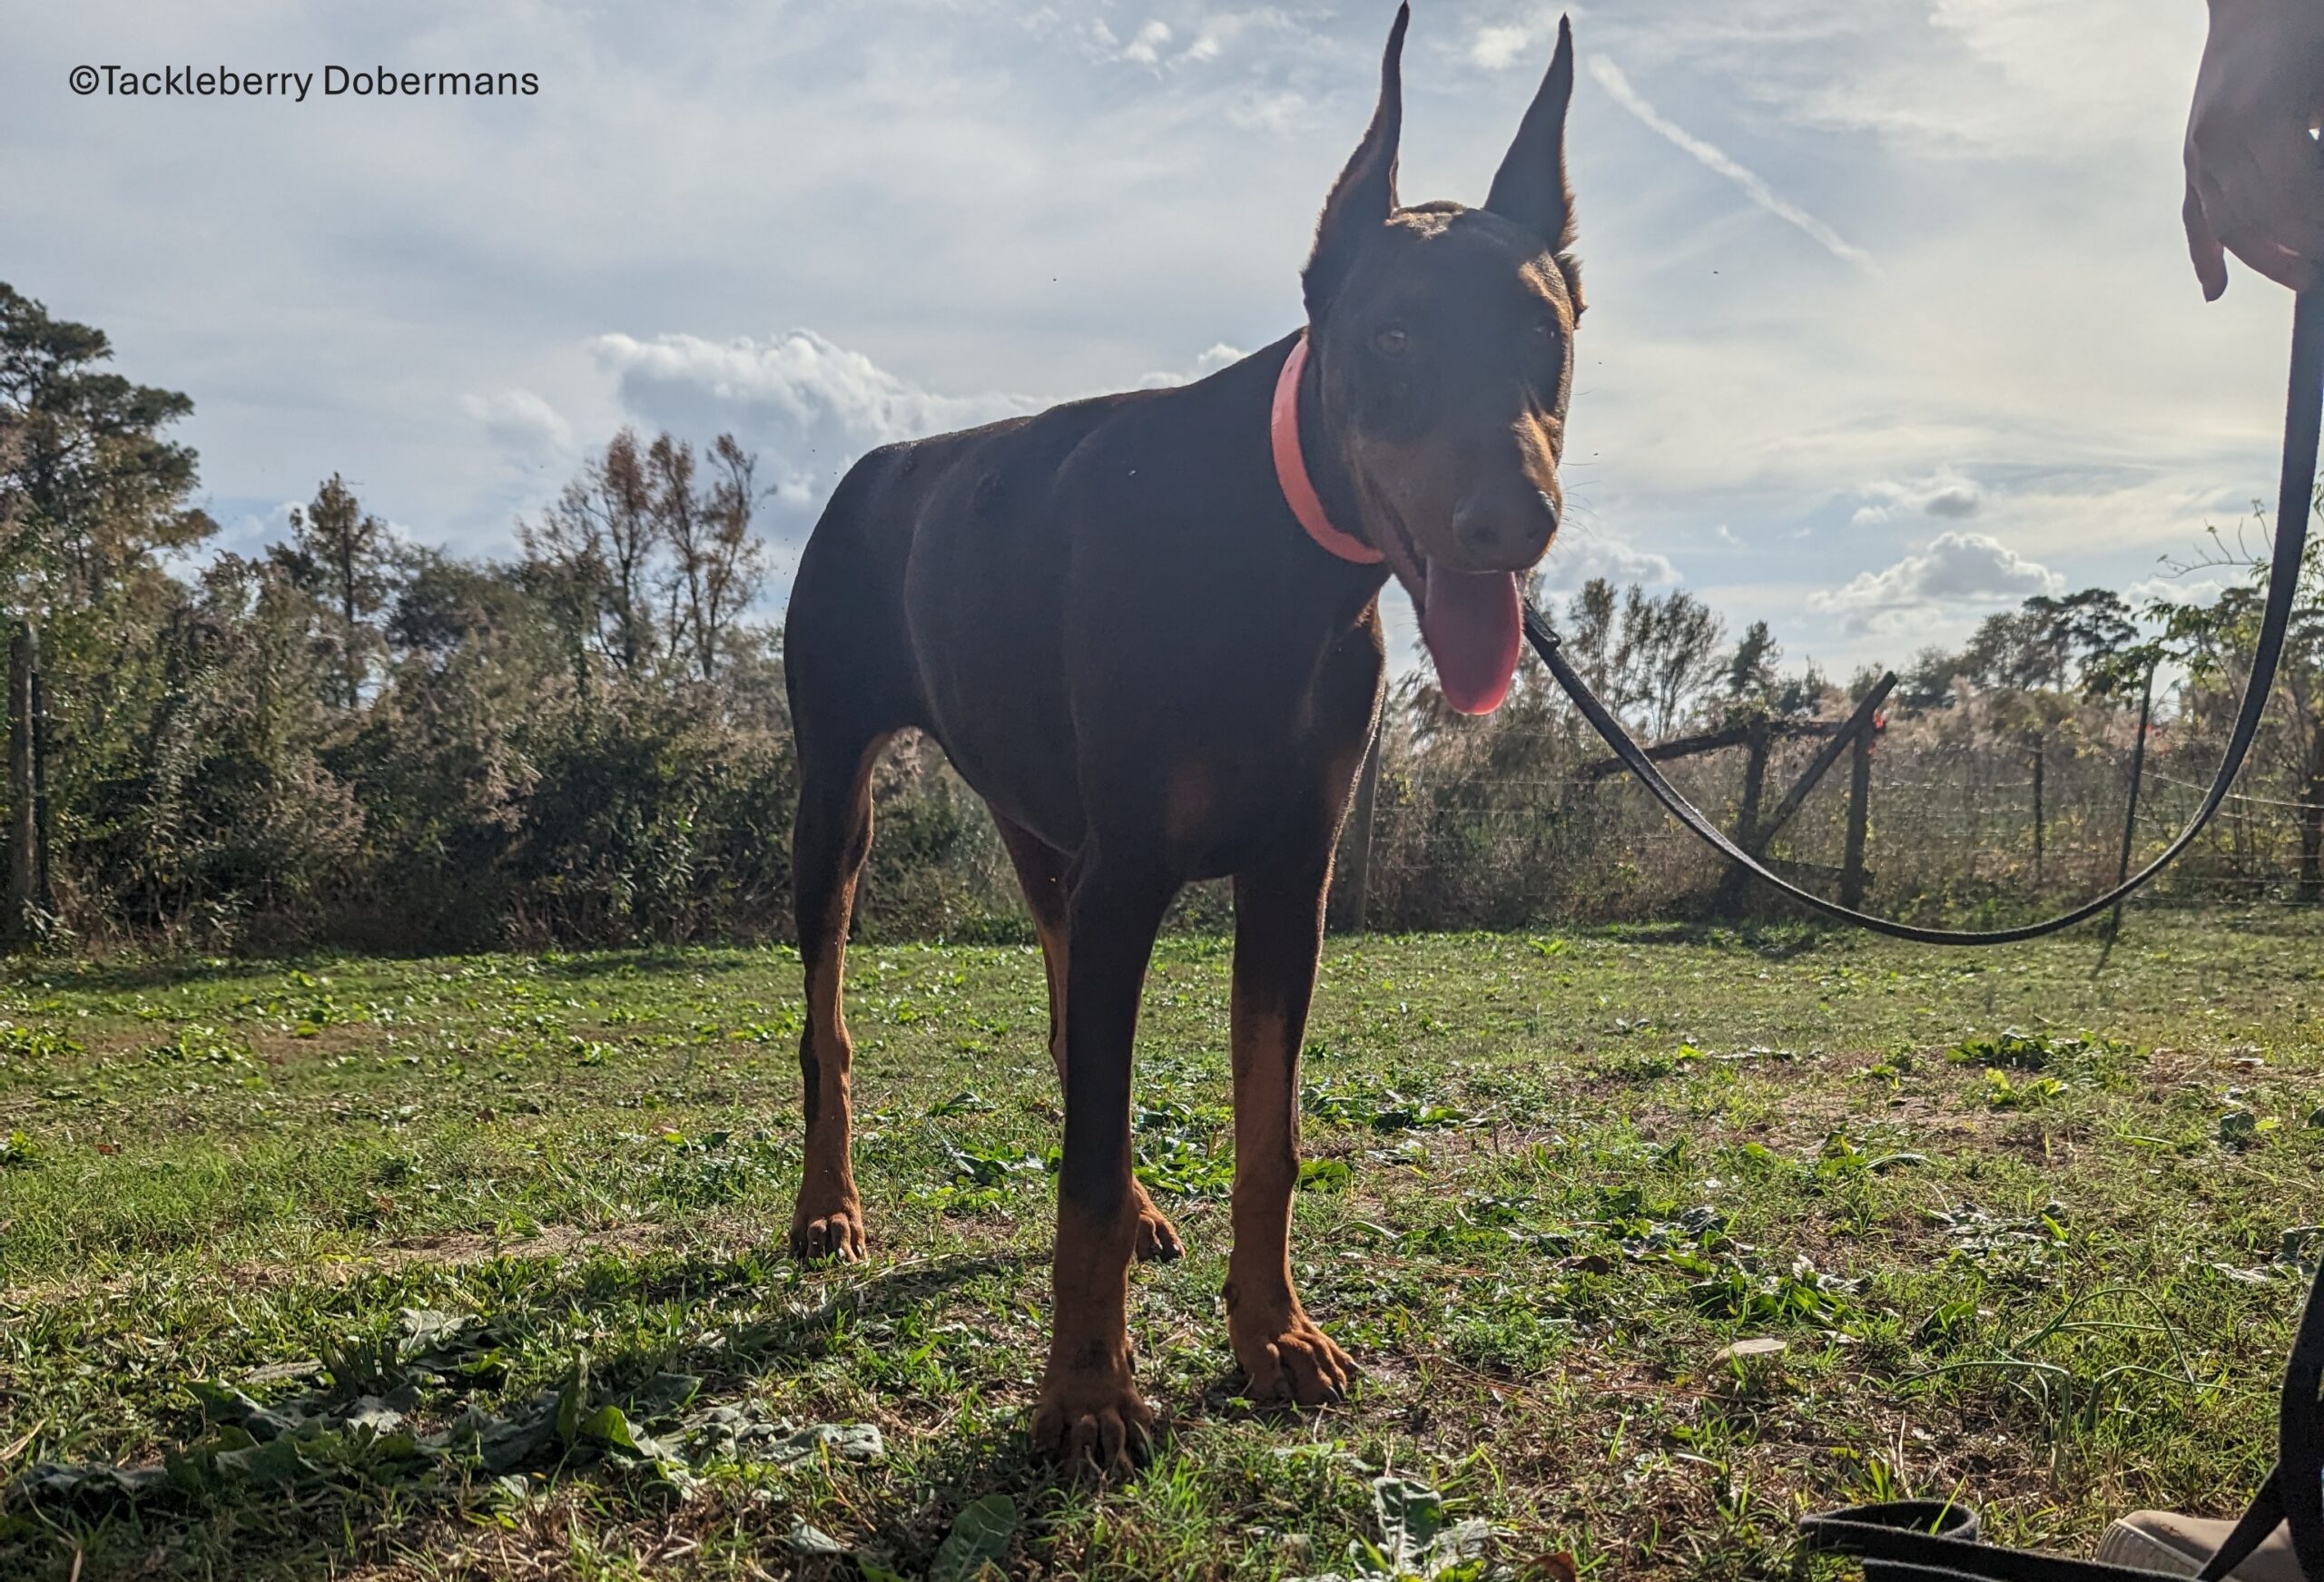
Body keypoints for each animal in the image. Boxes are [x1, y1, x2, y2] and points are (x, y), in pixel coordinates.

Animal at [781, 3, 1580, 1468]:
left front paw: (1273, 1335)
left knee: (1065, 1028)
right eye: (1391, 336)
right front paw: (1089, 1393)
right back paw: (827, 1207)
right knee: (834, 1027)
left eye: (1543, 334)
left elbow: (1264, 1136)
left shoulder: (1287, 880)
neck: (1273, 556)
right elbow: (1082, 1173)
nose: (1515, 519)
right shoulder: (1134, 878)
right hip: (840, 811)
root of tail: (873, 466)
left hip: (1047, 833)